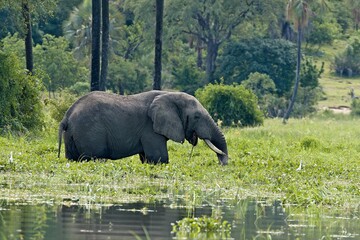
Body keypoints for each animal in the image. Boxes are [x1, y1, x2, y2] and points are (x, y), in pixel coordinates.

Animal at [58, 90, 229, 165]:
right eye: (196, 117)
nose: (222, 164)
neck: (169, 94)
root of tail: (66, 117)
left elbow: (146, 158)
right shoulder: (150, 129)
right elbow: (159, 158)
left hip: (73, 136)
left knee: (72, 158)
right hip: (90, 133)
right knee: (95, 158)